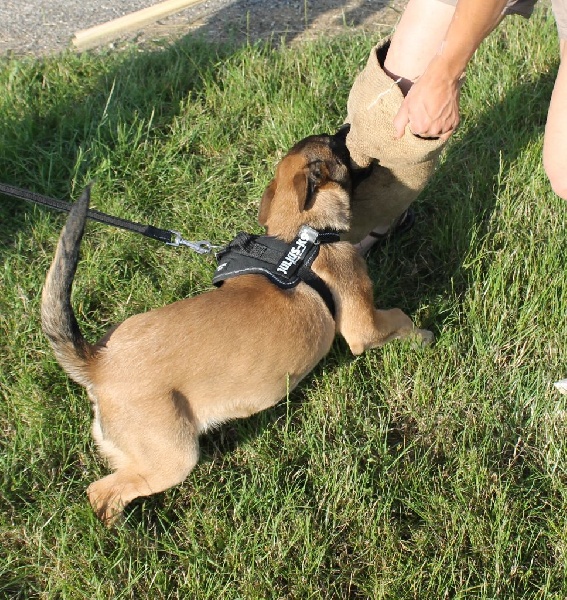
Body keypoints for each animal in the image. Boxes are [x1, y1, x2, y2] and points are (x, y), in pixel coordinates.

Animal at [42, 132, 432, 524]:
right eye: (335, 145)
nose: (346, 130)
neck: (300, 235)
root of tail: (98, 363)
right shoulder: (363, 326)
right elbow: (399, 316)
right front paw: (424, 336)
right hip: (172, 458)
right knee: (102, 492)